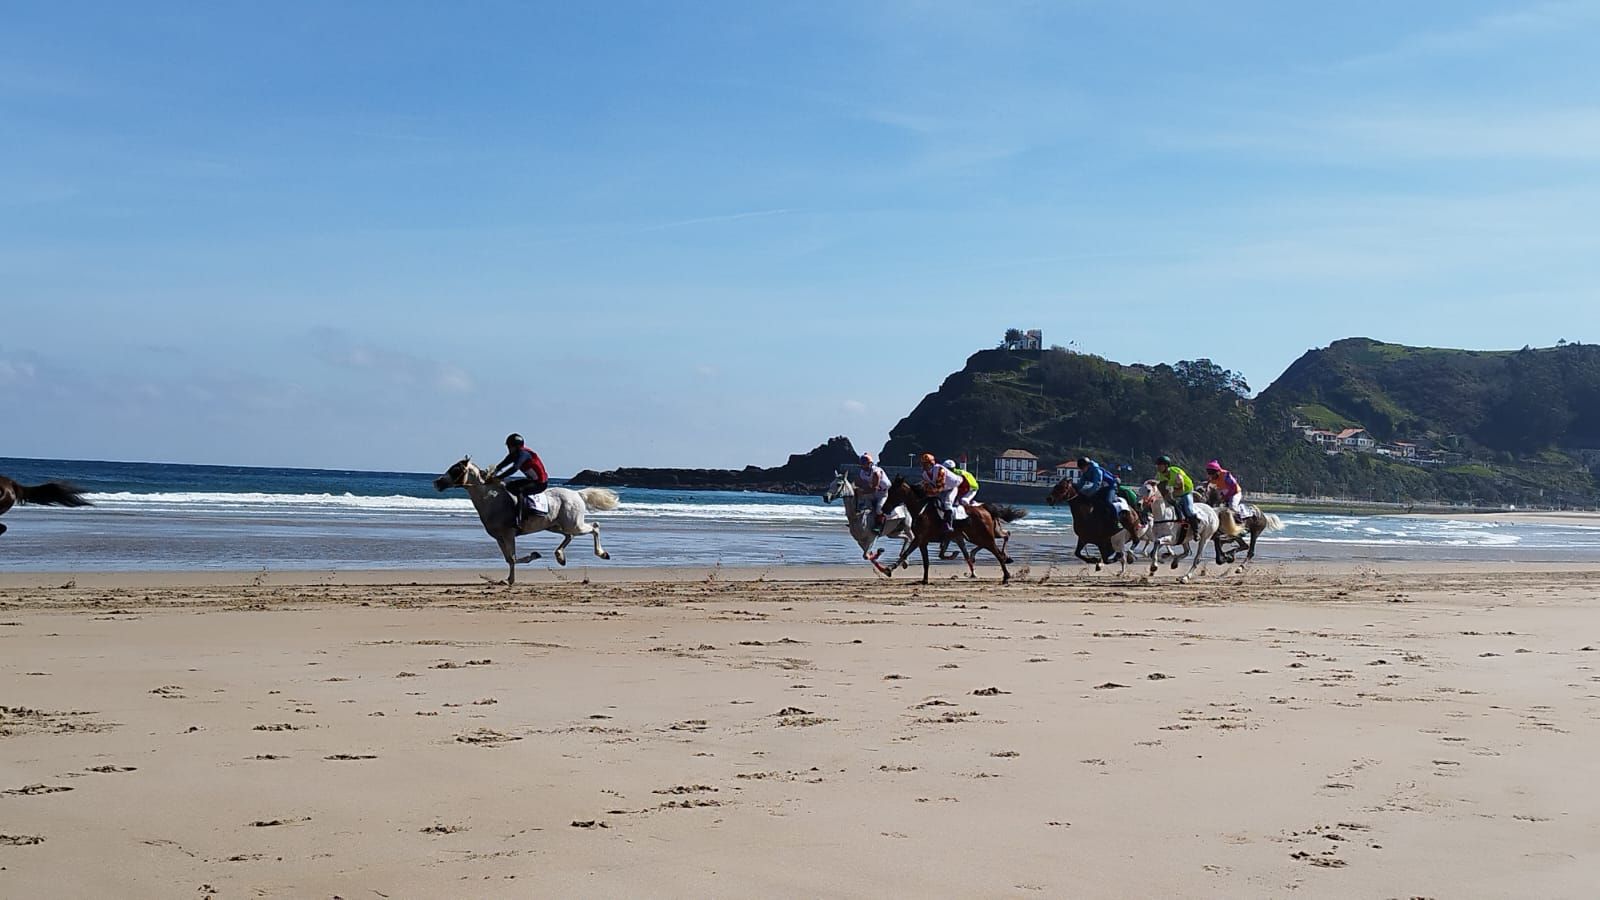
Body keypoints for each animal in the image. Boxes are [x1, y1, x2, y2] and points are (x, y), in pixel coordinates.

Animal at [432, 454, 617, 582]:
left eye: (455, 470)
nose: (437, 482)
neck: (491, 499)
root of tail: (577, 494)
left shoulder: (508, 534)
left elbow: (513, 558)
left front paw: (514, 576)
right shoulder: (499, 537)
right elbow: (508, 559)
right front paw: (510, 577)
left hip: (574, 524)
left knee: (594, 526)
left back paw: (602, 553)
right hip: (555, 526)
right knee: (569, 536)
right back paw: (560, 556)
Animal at [876, 474, 1024, 586]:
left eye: (892, 492)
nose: (884, 508)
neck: (921, 510)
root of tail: (985, 509)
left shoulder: (919, 538)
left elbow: (906, 554)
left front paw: (888, 569)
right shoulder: (924, 541)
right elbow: (926, 561)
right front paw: (924, 580)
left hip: (983, 536)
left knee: (997, 553)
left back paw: (1006, 576)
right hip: (976, 536)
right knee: (996, 549)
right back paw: (1005, 567)